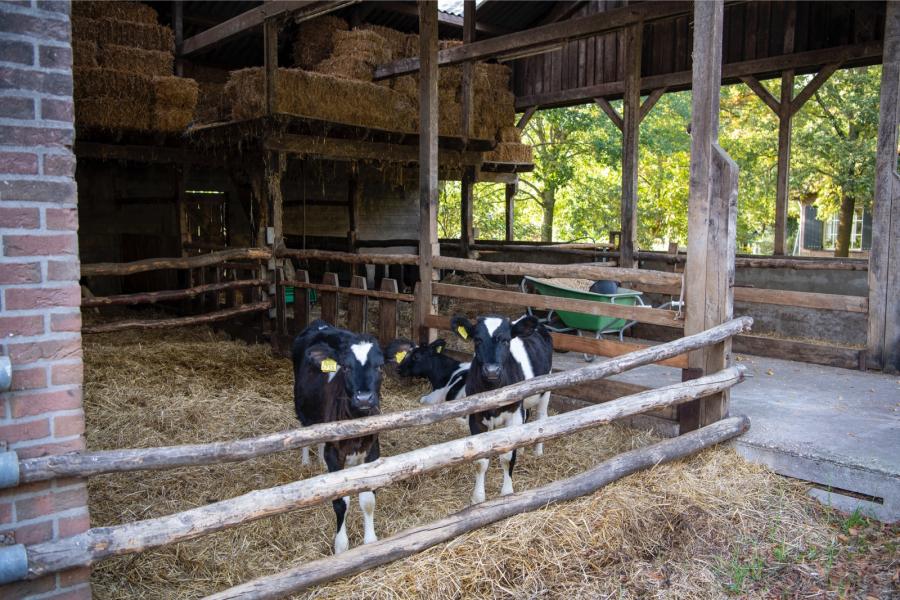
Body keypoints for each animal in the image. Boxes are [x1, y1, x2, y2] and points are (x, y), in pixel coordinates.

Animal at [292, 318, 384, 552]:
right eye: (345, 367)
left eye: (380, 366)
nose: (364, 398)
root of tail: (320, 324)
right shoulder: (335, 454)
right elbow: (341, 501)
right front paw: (341, 546)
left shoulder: (373, 450)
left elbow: (368, 499)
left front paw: (371, 541)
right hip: (302, 408)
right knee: (306, 431)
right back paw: (306, 462)